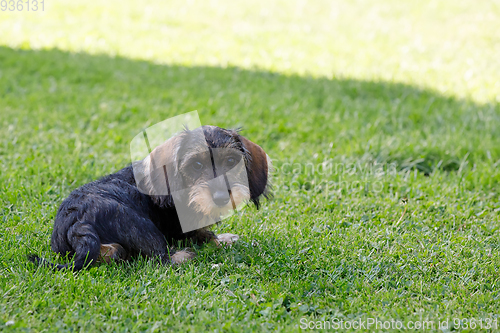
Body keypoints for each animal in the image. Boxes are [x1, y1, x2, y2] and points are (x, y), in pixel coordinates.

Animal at [29, 125, 272, 270]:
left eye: (231, 161)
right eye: (197, 164)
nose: (221, 197)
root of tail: (76, 223)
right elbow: (205, 235)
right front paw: (223, 241)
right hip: (139, 224)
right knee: (162, 258)